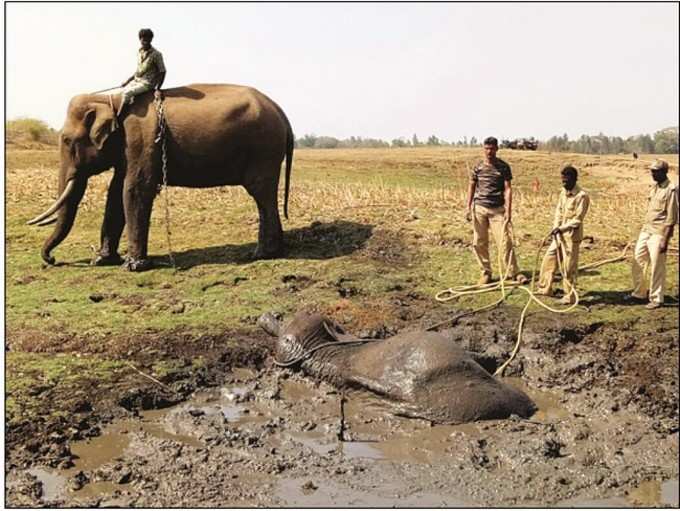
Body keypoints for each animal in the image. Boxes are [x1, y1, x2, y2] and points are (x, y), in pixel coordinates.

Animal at [28, 83, 292, 272]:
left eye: (67, 141)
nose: (52, 259)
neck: (114, 99)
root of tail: (281, 112)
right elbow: (115, 192)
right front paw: (102, 261)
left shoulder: (141, 138)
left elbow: (134, 189)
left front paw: (133, 267)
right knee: (264, 195)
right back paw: (272, 252)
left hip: (264, 149)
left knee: (260, 193)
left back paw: (261, 254)